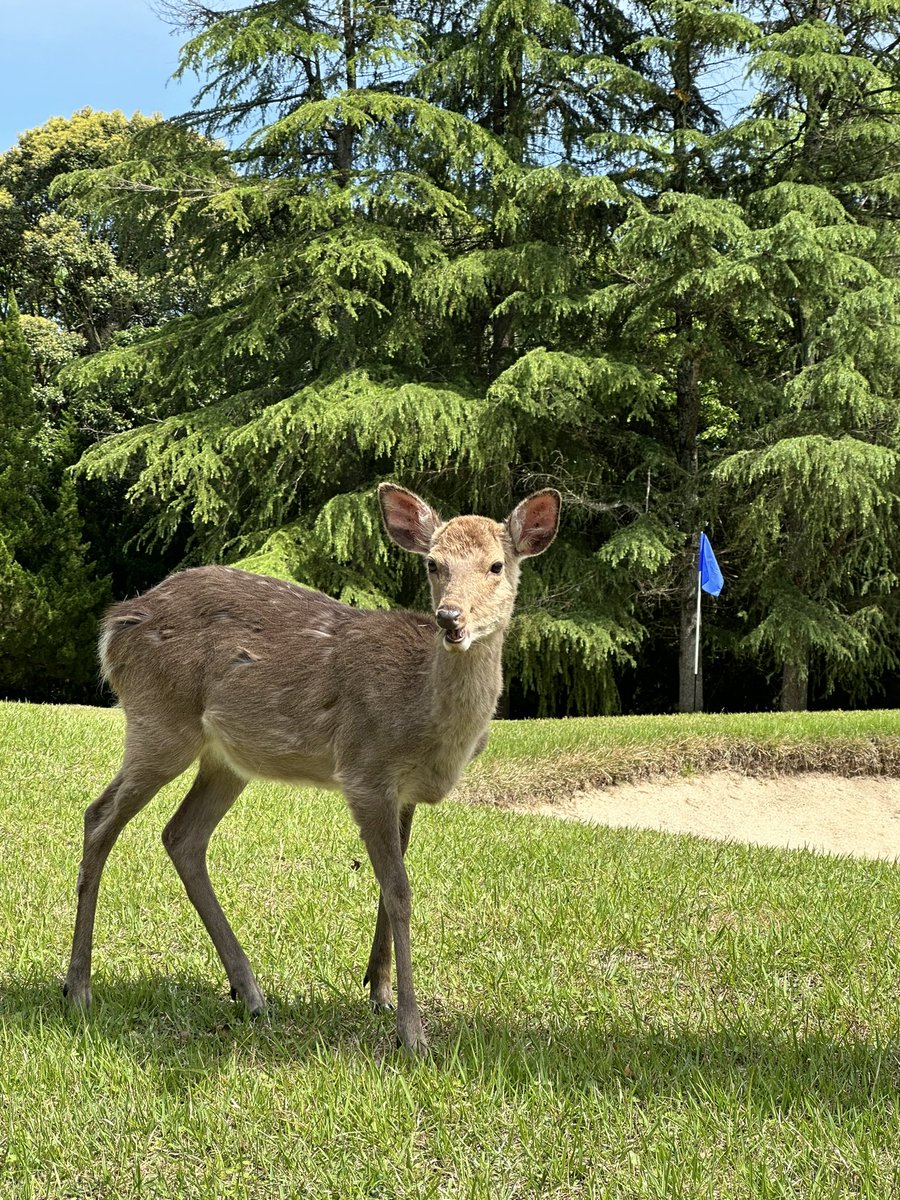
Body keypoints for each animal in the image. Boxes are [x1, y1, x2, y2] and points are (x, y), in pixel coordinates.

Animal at [63, 483, 560, 1054]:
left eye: (497, 565)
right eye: (433, 564)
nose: (450, 618)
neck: (425, 716)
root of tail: (113, 627)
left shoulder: (403, 790)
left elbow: (390, 886)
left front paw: (378, 990)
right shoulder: (365, 769)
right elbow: (400, 891)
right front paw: (412, 1033)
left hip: (225, 758)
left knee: (181, 835)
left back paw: (249, 992)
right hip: (160, 721)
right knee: (99, 817)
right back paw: (78, 988)